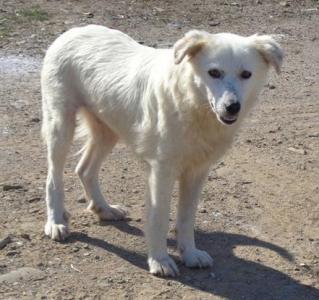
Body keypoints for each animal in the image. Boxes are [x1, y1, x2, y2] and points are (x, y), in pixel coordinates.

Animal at [41, 25, 284, 276]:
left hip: (108, 130)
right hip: (61, 126)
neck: (193, 105)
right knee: (53, 178)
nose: (232, 107)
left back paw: (104, 209)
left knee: (84, 169)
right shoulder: (161, 171)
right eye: (214, 72)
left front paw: (190, 254)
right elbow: (159, 217)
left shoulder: (197, 172)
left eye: (246, 74)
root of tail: (74, 30)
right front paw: (159, 260)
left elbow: (186, 218)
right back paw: (56, 222)